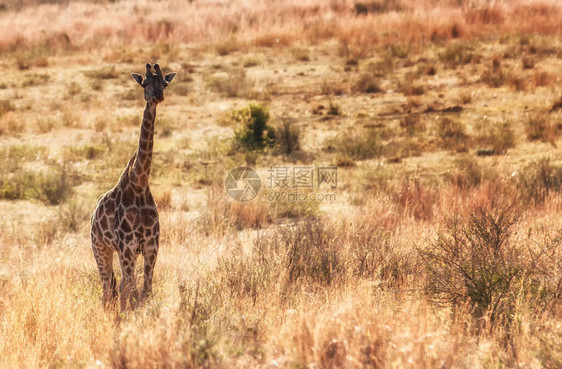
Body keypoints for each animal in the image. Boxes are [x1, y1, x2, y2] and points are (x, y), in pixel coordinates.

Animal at [89, 63, 175, 310]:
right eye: (144, 83)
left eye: (165, 83)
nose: (158, 96)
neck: (139, 184)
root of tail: (93, 216)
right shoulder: (126, 247)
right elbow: (134, 292)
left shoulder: (151, 246)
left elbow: (145, 291)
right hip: (100, 248)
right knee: (108, 290)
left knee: (118, 288)